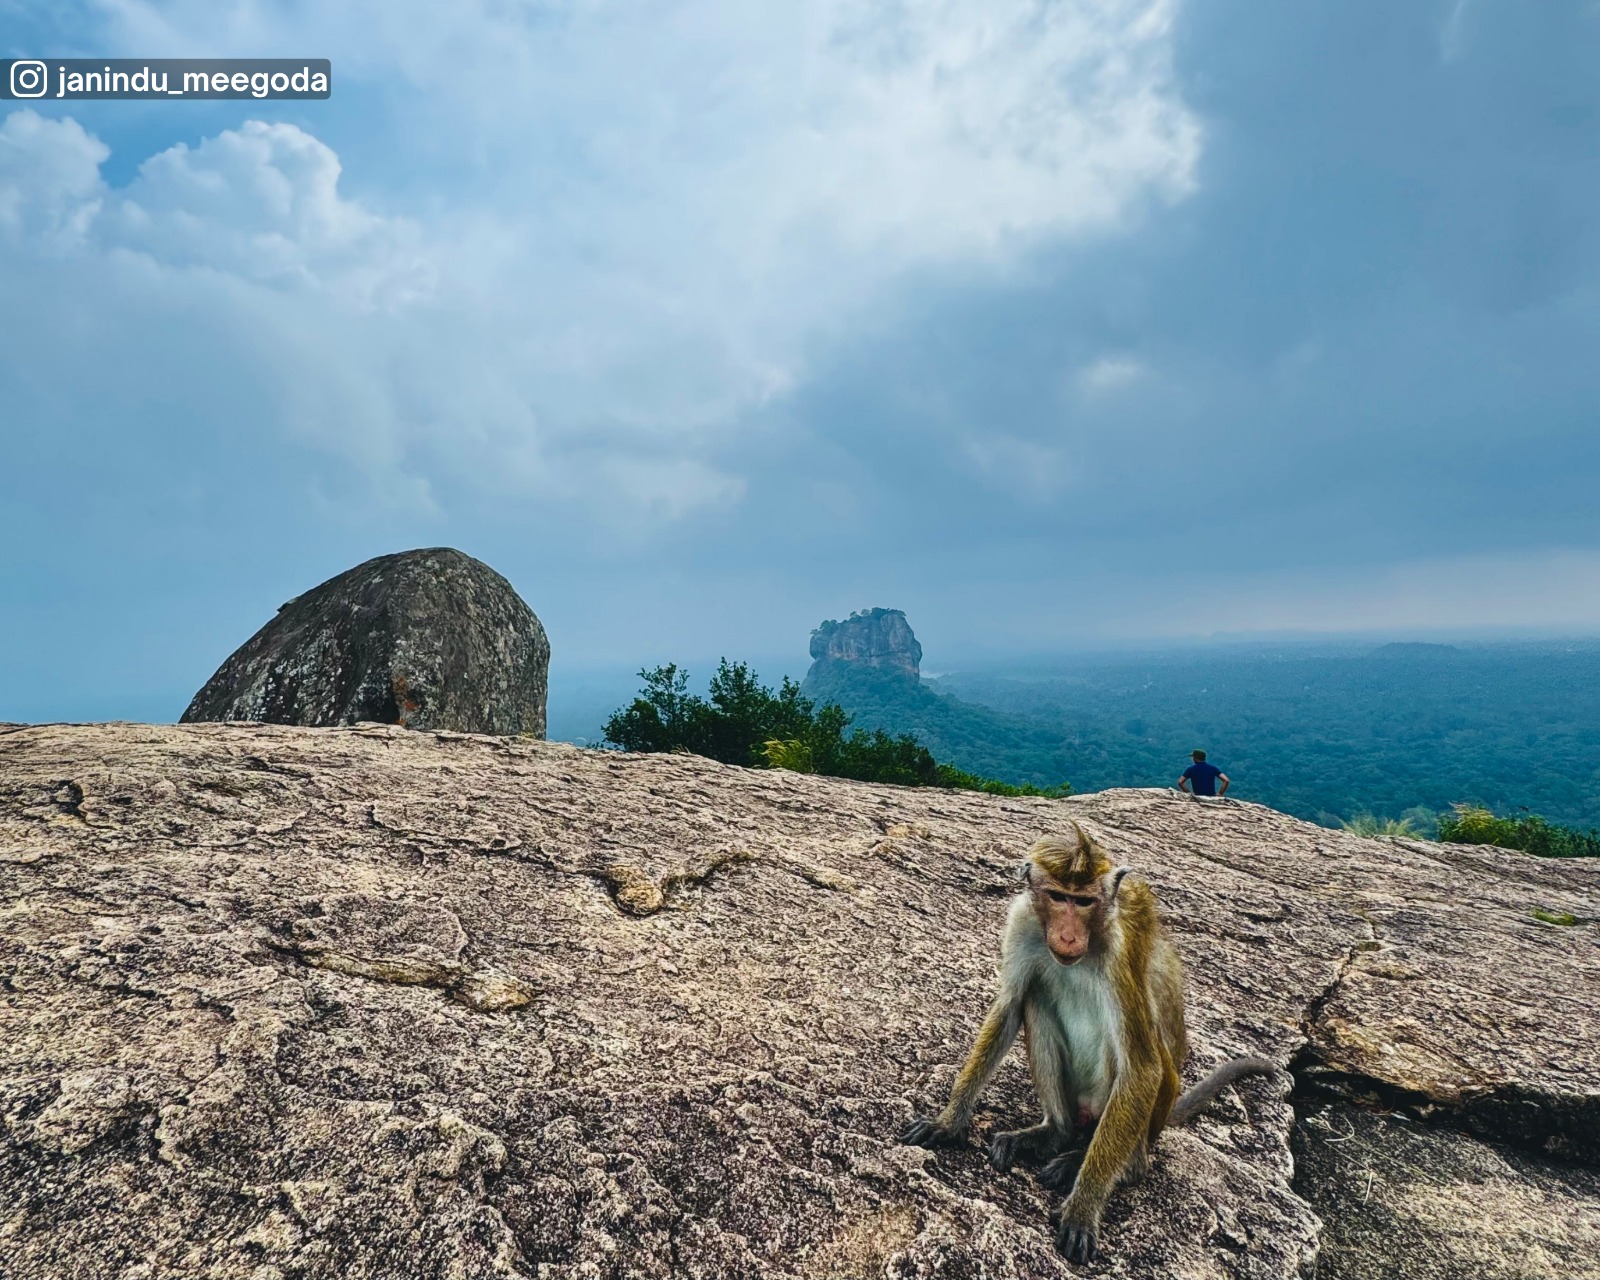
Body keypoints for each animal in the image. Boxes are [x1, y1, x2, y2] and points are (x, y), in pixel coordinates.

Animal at [900, 822, 1275, 1264]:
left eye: (1083, 902)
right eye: (1058, 897)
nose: (1066, 934)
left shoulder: (1121, 953)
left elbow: (1142, 1067)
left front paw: (1082, 1209)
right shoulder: (1022, 922)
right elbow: (1009, 1007)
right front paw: (948, 1122)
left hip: (1127, 1114)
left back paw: (1103, 1163)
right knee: (1035, 1000)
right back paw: (1054, 1134)